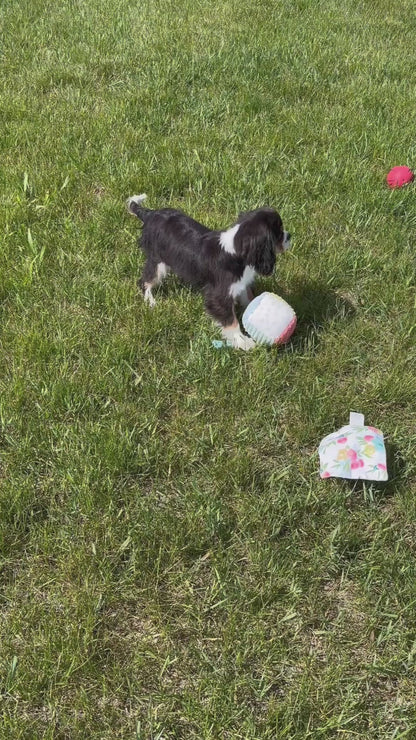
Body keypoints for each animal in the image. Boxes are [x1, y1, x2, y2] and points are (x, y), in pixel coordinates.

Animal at [125, 194, 290, 350]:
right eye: (279, 233)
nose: (290, 236)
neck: (235, 249)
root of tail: (150, 214)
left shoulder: (240, 284)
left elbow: (247, 298)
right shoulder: (218, 296)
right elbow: (231, 320)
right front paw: (242, 341)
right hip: (158, 262)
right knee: (145, 281)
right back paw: (151, 301)